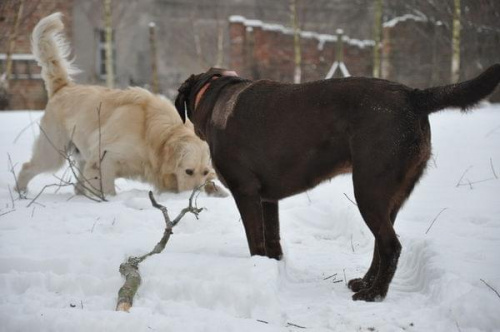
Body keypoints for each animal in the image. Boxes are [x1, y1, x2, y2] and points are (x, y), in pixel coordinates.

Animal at [17, 13, 225, 197]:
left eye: (205, 172)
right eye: (188, 171)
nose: (193, 196)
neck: (150, 134)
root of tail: (64, 87)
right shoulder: (103, 159)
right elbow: (107, 189)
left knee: (77, 183)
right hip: (53, 152)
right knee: (27, 167)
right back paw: (21, 192)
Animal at [175, 65, 500, 300]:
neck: (215, 94)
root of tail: (413, 96)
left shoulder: (246, 192)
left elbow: (256, 243)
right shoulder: (268, 199)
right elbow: (273, 239)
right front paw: (273, 268)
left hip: (368, 189)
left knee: (391, 246)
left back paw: (374, 294)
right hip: (389, 195)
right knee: (381, 245)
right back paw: (365, 283)